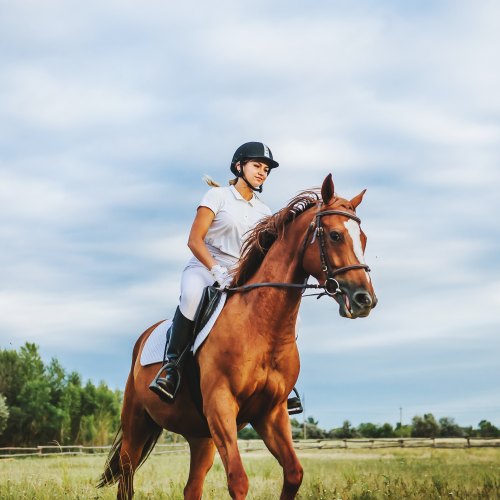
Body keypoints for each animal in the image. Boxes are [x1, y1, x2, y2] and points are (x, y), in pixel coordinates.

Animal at [97, 174, 376, 498]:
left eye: (363, 238)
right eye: (335, 235)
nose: (365, 299)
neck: (262, 327)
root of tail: (143, 336)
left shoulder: (271, 413)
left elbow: (294, 473)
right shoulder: (222, 405)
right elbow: (238, 480)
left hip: (201, 436)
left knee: (192, 487)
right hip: (137, 424)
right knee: (126, 478)